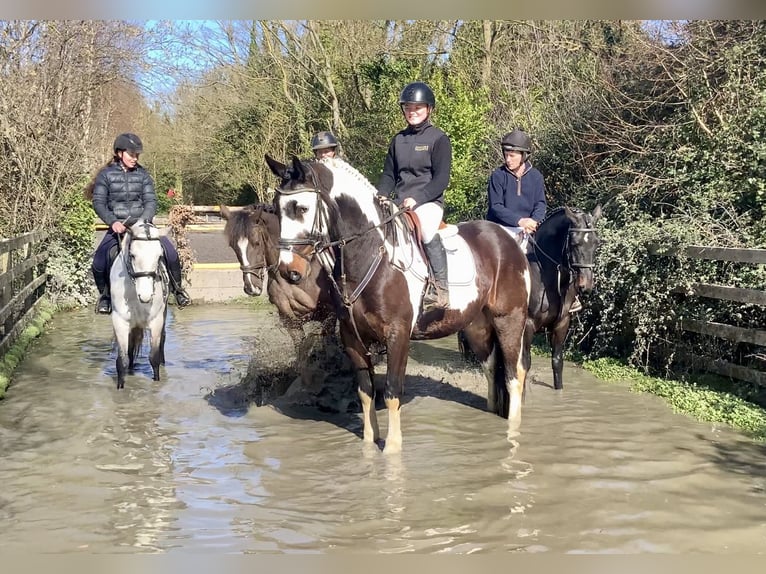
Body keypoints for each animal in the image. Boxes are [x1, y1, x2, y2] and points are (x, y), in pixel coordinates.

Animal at [109, 220, 169, 389]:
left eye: (159, 256)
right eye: (133, 255)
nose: (146, 295)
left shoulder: (156, 321)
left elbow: (154, 358)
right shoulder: (120, 321)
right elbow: (121, 361)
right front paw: (120, 388)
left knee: (162, 340)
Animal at [266, 155, 530, 454]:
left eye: (302, 208)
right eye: (276, 210)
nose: (289, 271)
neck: (370, 254)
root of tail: (508, 240)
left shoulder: (398, 334)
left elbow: (392, 392)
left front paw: (392, 450)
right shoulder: (351, 337)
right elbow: (365, 392)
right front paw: (369, 445)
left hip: (509, 320)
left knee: (514, 374)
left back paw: (513, 430)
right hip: (477, 327)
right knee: (492, 368)